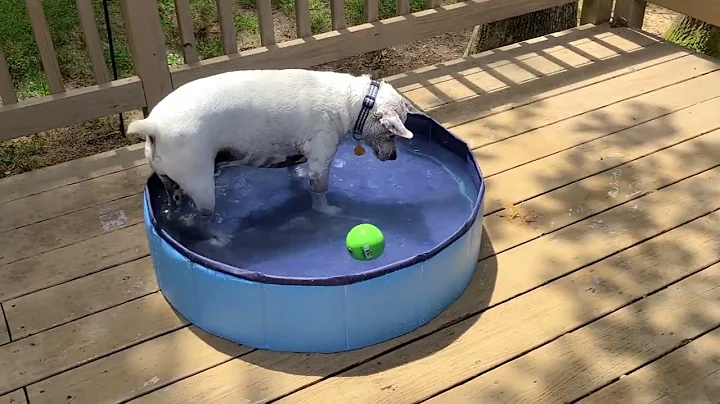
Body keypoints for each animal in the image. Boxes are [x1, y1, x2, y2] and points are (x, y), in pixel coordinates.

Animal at [126, 68, 414, 218]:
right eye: (392, 134)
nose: (394, 158)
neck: (351, 101)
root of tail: (154, 125)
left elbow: (294, 169)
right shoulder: (321, 159)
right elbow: (319, 191)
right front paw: (327, 210)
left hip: (171, 185)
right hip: (203, 187)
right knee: (203, 220)